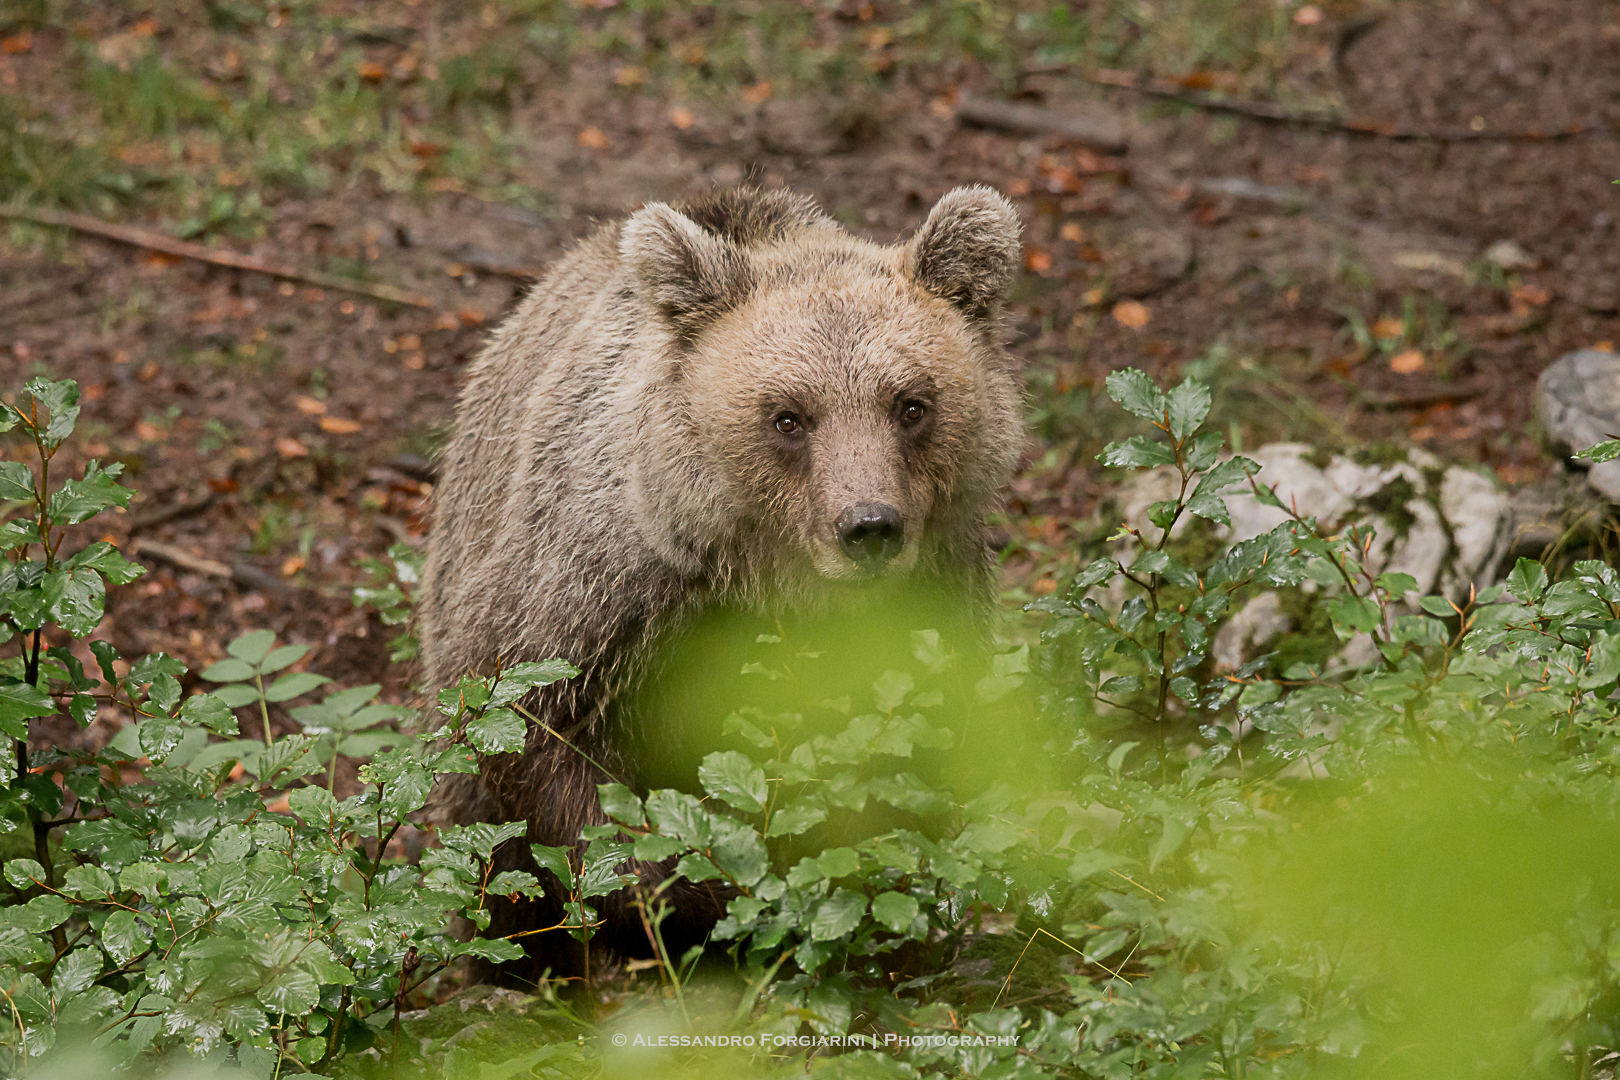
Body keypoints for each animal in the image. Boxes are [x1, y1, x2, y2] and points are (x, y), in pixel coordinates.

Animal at [418, 184, 1025, 985]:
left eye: (912, 404)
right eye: (789, 416)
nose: (869, 527)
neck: (771, 583)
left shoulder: (929, 598)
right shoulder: (607, 586)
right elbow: (535, 732)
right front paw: (702, 902)